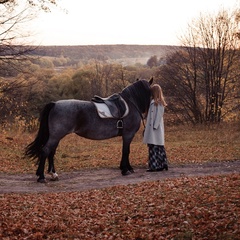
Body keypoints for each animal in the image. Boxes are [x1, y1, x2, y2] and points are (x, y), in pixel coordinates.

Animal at [25, 79, 153, 182]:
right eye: (151, 92)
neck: (131, 103)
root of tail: (55, 104)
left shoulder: (127, 135)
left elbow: (127, 151)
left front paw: (128, 168)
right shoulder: (128, 134)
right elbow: (126, 151)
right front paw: (125, 170)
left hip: (55, 137)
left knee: (51, 152)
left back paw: (53, 174)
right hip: (55, 136)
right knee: (45, 151)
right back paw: (41, 177)